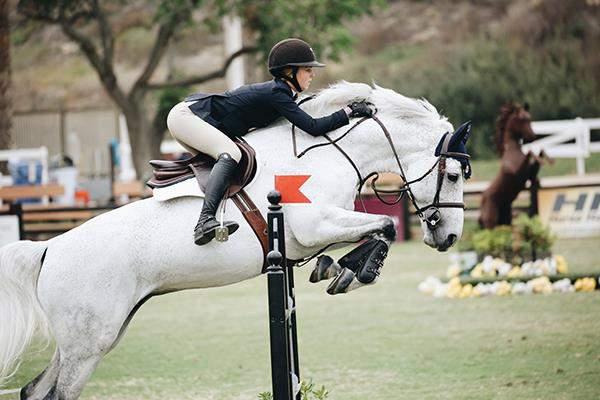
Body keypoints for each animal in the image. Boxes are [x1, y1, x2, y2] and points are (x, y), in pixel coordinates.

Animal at [0, 82, 468, 400]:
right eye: (454, 174)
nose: (449, 237)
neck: (328, 153)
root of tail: (48, 249)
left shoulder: (315, 232)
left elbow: (374, 229)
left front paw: (336, 269)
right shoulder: (312, 225)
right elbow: (385, 226)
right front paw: (354, 271)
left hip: (91, 336)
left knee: (35, 391)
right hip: (88, 343)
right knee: (58, 394)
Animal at [478, 101, 548, 230]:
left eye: (529, 118)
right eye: (521, 120)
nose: (532, 137)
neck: (512, 151)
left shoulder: (530, 175)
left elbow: (536, 162)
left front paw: (543, 157)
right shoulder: (516, 172)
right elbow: (529, 153)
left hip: (505, 220)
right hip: (491, 222)